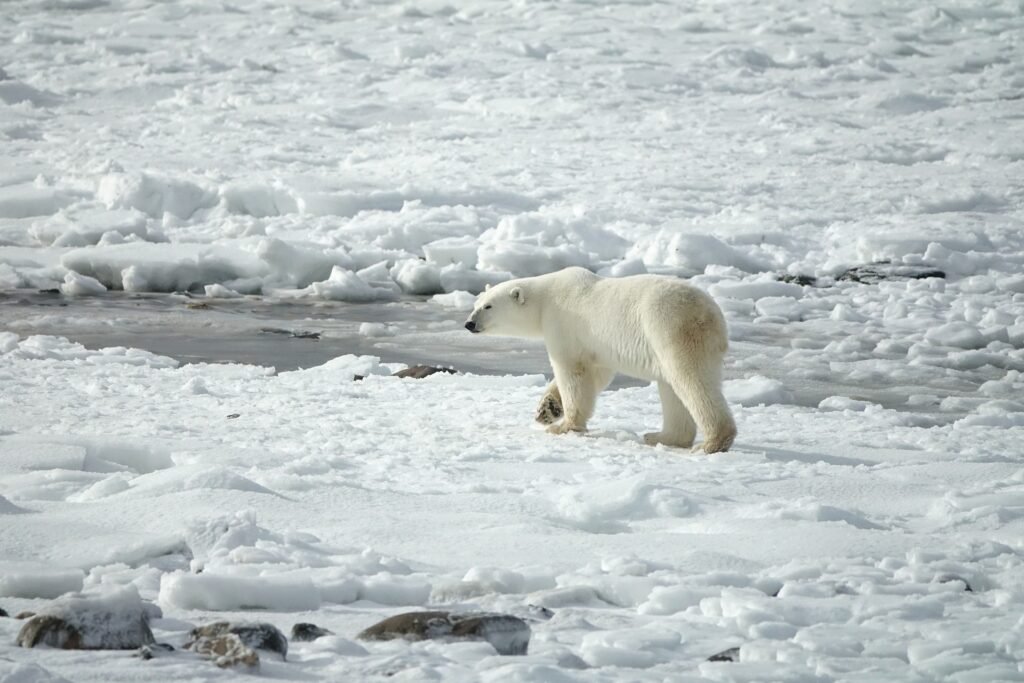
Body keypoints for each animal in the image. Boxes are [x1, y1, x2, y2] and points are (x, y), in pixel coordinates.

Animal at [464, 266, 737, 454]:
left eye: (488, 307)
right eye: (476, 303)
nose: (469, 323)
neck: (545, 299)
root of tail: (712, 315)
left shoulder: (564, 324)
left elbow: (572, 372)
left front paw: (563, 426)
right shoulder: (596, 345)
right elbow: (597, 373)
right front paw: (547, 410)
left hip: (670, 328)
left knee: (690, 380)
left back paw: (711, 443)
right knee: (672, 387)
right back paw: (660, 436)